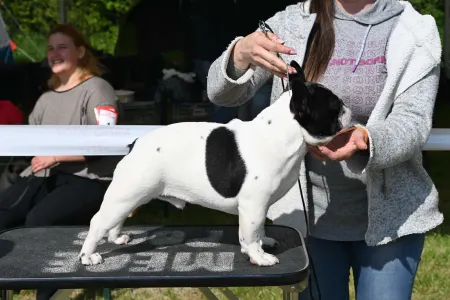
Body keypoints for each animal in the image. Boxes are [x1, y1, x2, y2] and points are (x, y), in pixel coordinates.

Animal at [79, 59, 354, 266]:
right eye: (335, 107)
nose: (349, 109)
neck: (283, 132)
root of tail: (135, 144)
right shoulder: (253, 204)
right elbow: (250, 233)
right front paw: (259, 256)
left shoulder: (259, 206)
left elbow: (259, 229)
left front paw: (264, 242)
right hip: (128, 193)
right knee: (98, 221)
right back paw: (88, 256)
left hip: (131, 196)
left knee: (116, 219)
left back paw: (116, 238)